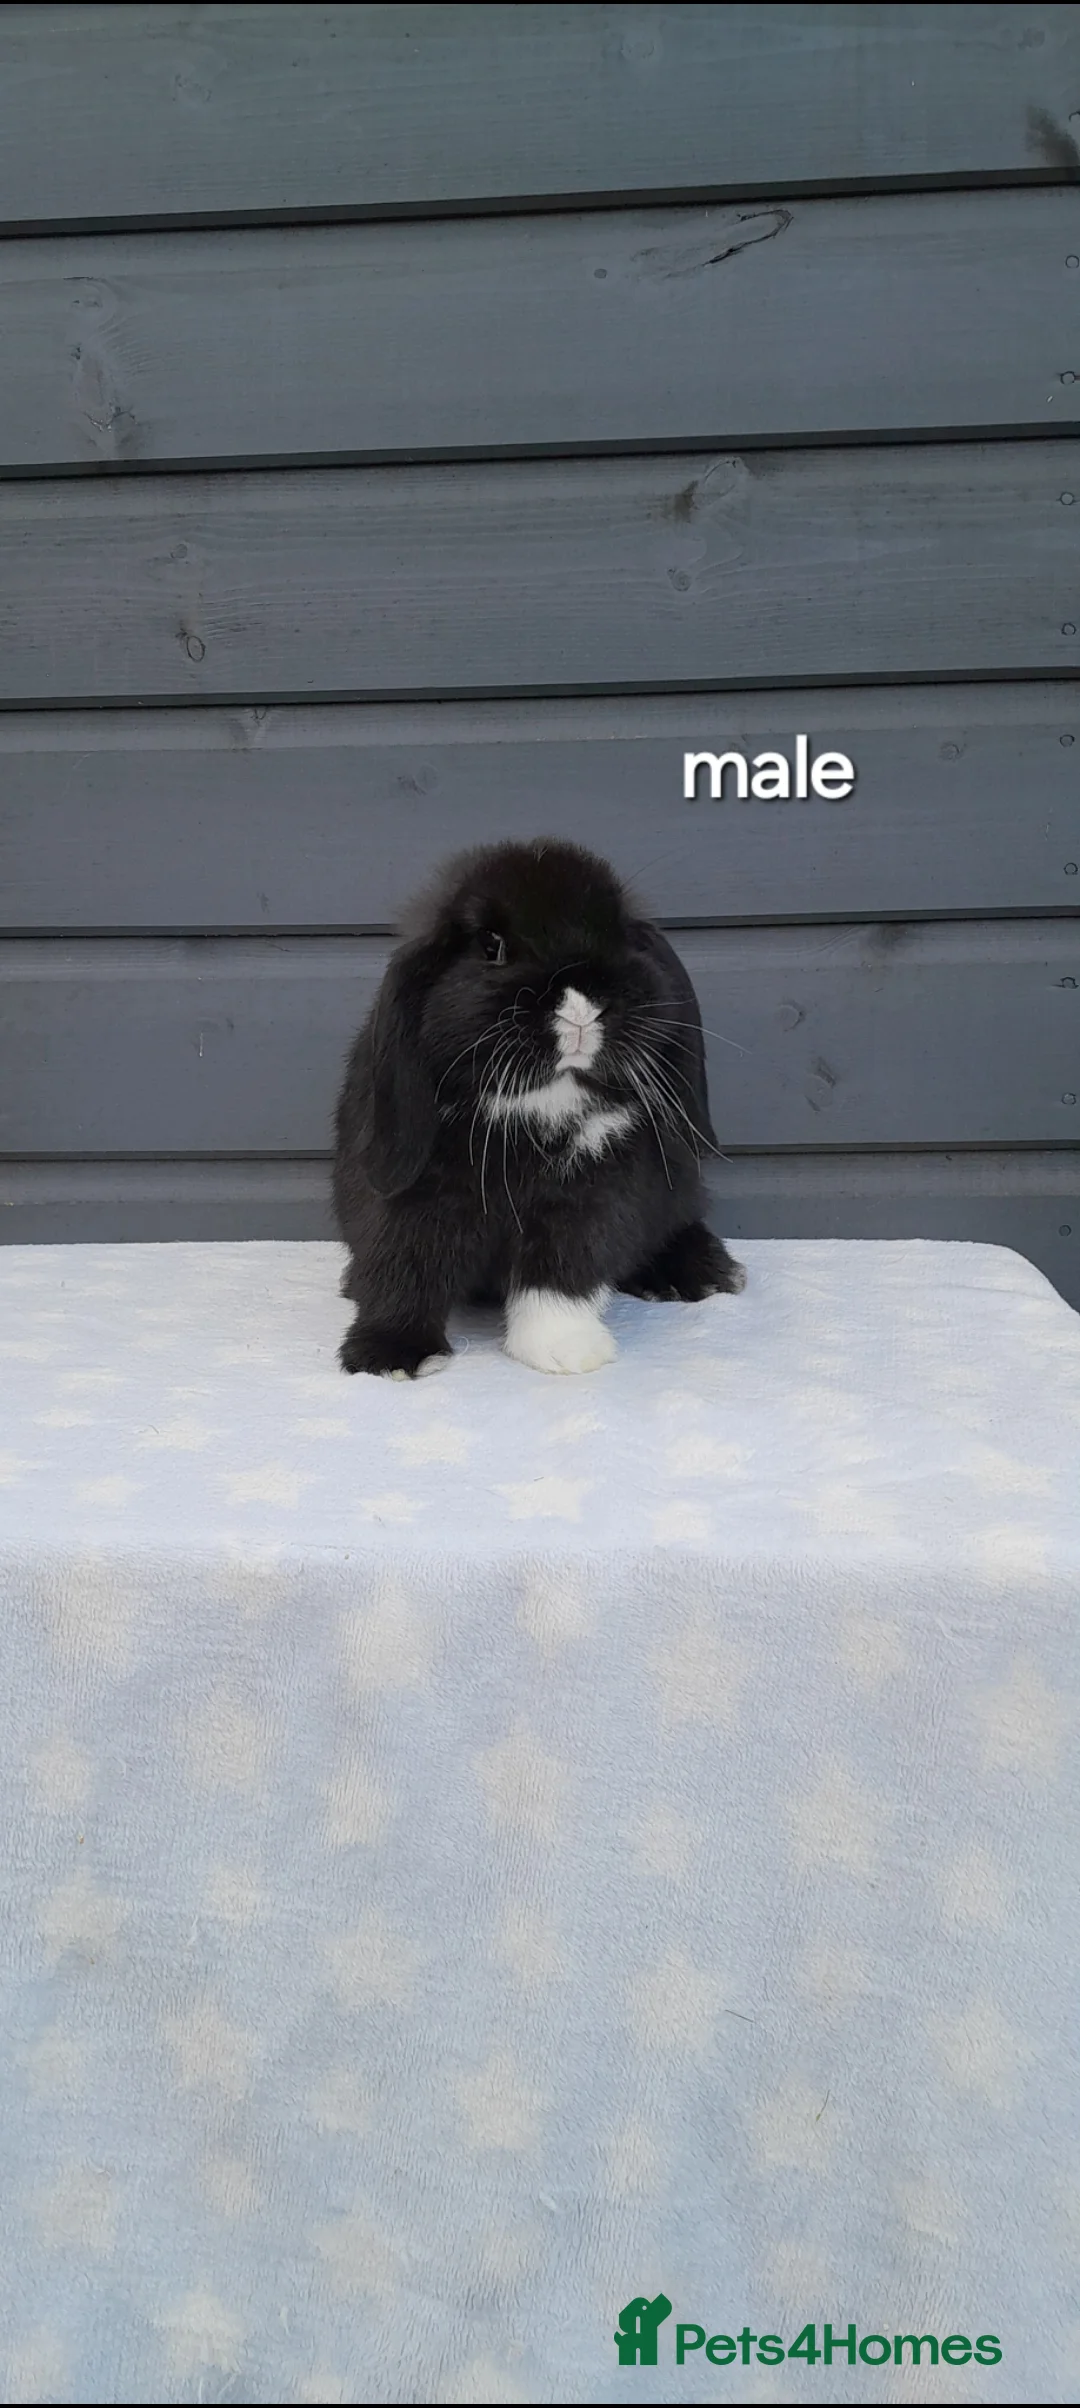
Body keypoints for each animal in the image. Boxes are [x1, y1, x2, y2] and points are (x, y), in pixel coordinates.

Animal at [332, 837, 746, 1377]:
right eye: (491, 946)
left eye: (619, 936)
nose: (579, 1007)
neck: (537, 1106)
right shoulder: (409, 1202)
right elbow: (404, 1269)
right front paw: (390, 1355)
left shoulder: (587, 1196)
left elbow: (561, 1270)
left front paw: (564, 1350)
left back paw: (701, 1272)